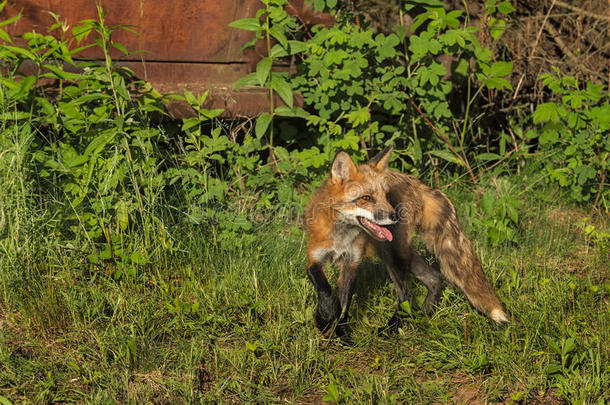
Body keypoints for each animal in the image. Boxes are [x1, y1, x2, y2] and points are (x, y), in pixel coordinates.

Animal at [304, 147, 508, 342]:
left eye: (386, 196)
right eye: (366, 198)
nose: (394, 215)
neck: (342, 236)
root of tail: (419, 184)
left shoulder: (351, 262)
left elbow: (344, 305)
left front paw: (338, 330)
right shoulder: (314, 257)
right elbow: (326, 290)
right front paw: (326, 319)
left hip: (392, 253)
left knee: (406, 294)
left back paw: (392, 327)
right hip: (400, 252)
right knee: (436, 278)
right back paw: (424, 316)